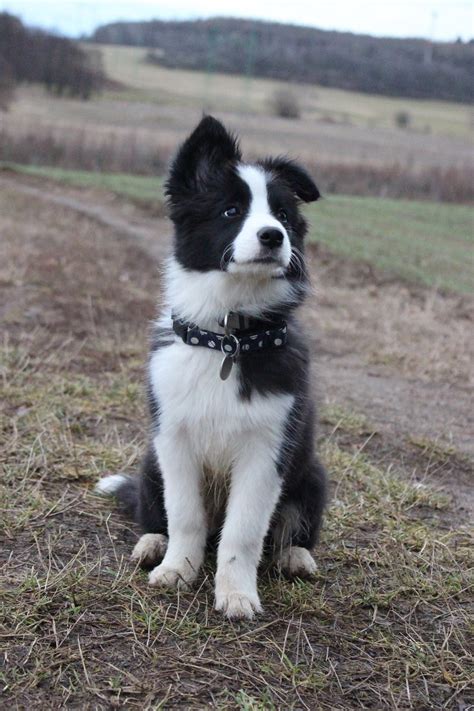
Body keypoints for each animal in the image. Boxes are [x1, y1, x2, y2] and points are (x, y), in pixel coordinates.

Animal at [96, 115, 326, 616]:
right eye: (230, 211)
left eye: (282, 216)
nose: (273, 236)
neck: (228, 338)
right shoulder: (174, 441)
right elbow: (185, 515)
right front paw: (179, 570)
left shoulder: (266, 451)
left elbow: (244, 531)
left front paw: (237, 594)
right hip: (150, 465)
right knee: (156, 514)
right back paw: (152, 545)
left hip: (313, 474)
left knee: (292, 530)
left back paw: (296, 556)